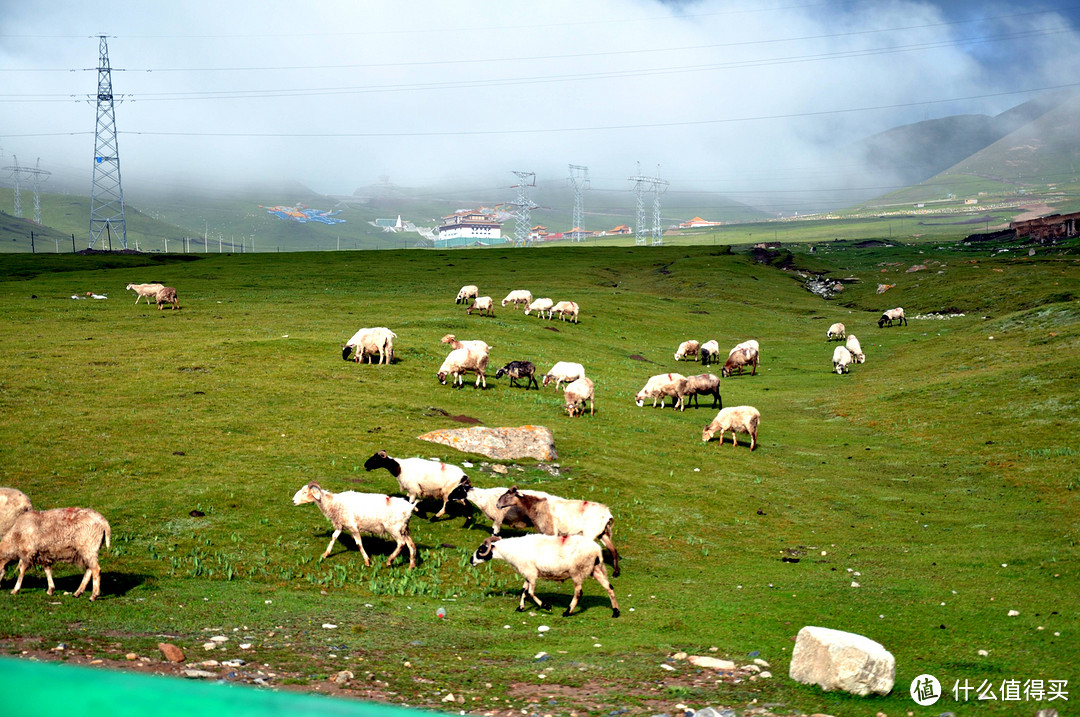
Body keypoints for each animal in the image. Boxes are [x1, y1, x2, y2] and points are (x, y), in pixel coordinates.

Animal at [470, 535, 622, 617]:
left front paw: (546, 606)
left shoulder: (531, 573)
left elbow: (530, 592)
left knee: (579, 593)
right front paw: (520, 608)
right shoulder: (527, 573)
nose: (471, 560)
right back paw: (615, 612)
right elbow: (524, 590)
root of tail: (597, 550)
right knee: (609, 587)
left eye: (481, 549)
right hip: (595, 569)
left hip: (578, 571)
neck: (511, 550)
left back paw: (568, 612)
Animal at [494, 483, 622, 574]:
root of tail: (608, 514)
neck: (536, 504)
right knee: (613, 550)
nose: (497, 504)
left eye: (508, 494)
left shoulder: (550, 530)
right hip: (603, 533)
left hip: (590, 533)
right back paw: (616, 572)